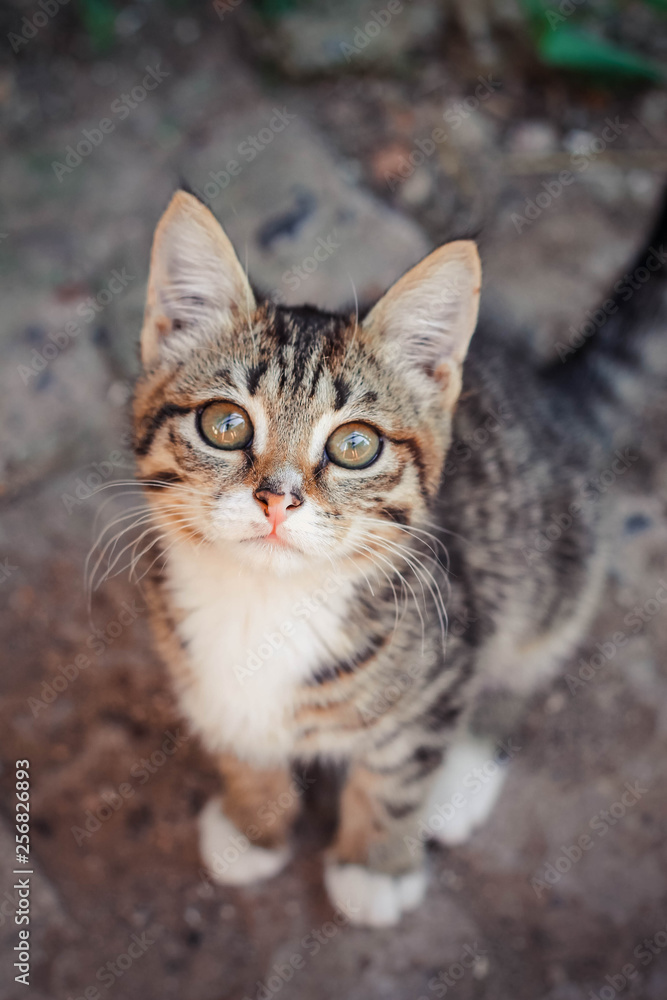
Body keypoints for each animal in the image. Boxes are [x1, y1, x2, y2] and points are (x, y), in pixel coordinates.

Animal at [133, 189, 664, 928]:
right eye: (225, 424)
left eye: (355, 445)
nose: (277, 498)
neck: (265, 601)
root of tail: (552, 395)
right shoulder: (195, 671)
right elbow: (239, 740)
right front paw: (251, 822)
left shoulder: (447, 653)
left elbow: (397, 775)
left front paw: (374, 866)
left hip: (552, 568)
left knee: (526, 660)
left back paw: (465, 771)